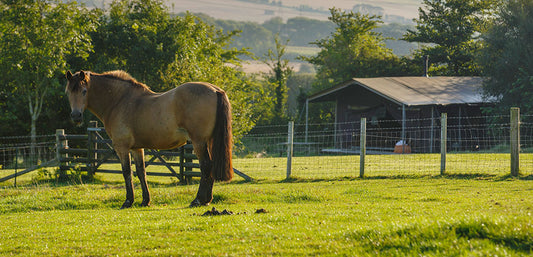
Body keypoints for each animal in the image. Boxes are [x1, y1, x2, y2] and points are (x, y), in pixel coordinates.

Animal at [64, 69, 231, 207]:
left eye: (84, 91)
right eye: (68, 92)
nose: (76, 116)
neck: (119, 101)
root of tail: (215, 90)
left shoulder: (122, 147)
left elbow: (127, 172)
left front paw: (128, 201)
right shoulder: (137, 148)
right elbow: (141, 172)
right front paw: (145, 200)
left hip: (199, 141)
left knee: (206, 166)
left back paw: (198, 200)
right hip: (208, 141)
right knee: (211, 165)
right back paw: (207, 200)